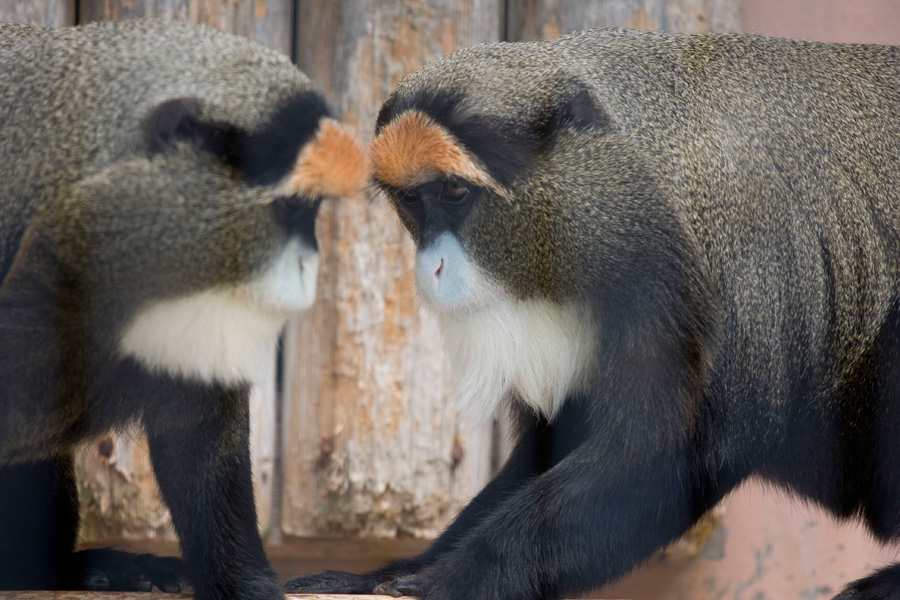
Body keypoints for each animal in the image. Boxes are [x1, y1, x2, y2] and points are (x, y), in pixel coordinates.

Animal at [284, 27, 900, 600]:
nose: (430, 266)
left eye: (456, 193)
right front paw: (390, 573)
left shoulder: (700, 268)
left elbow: (667, 451)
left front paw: (452, 579)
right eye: (413, 199)